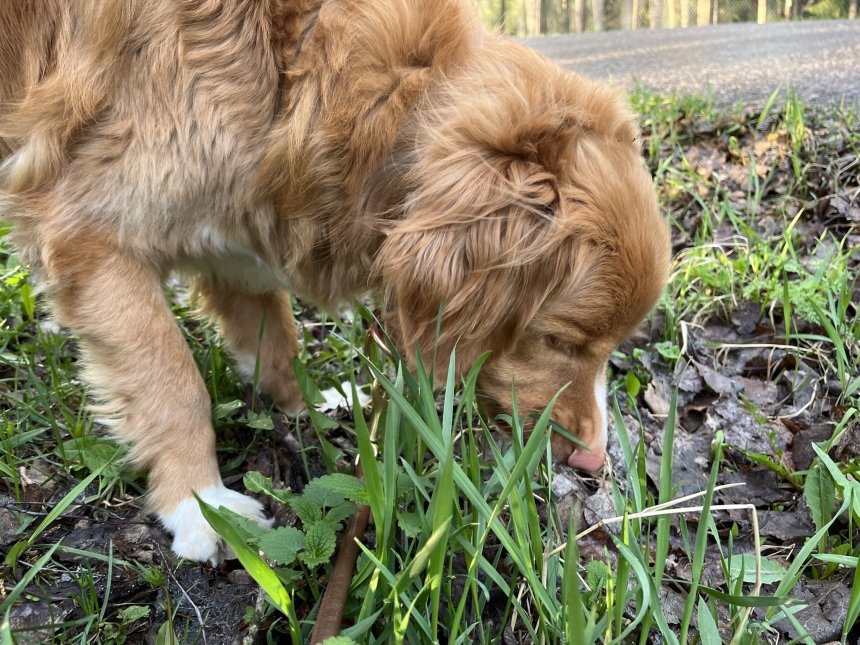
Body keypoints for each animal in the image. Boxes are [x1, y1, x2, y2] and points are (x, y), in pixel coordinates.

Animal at [1, 0, 672, 560]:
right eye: (559, 339)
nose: (594, 460)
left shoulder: (236, 223)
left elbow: (276, 339)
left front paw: (305, 406)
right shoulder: (87, 234)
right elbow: (174, 387)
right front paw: (203, 507)